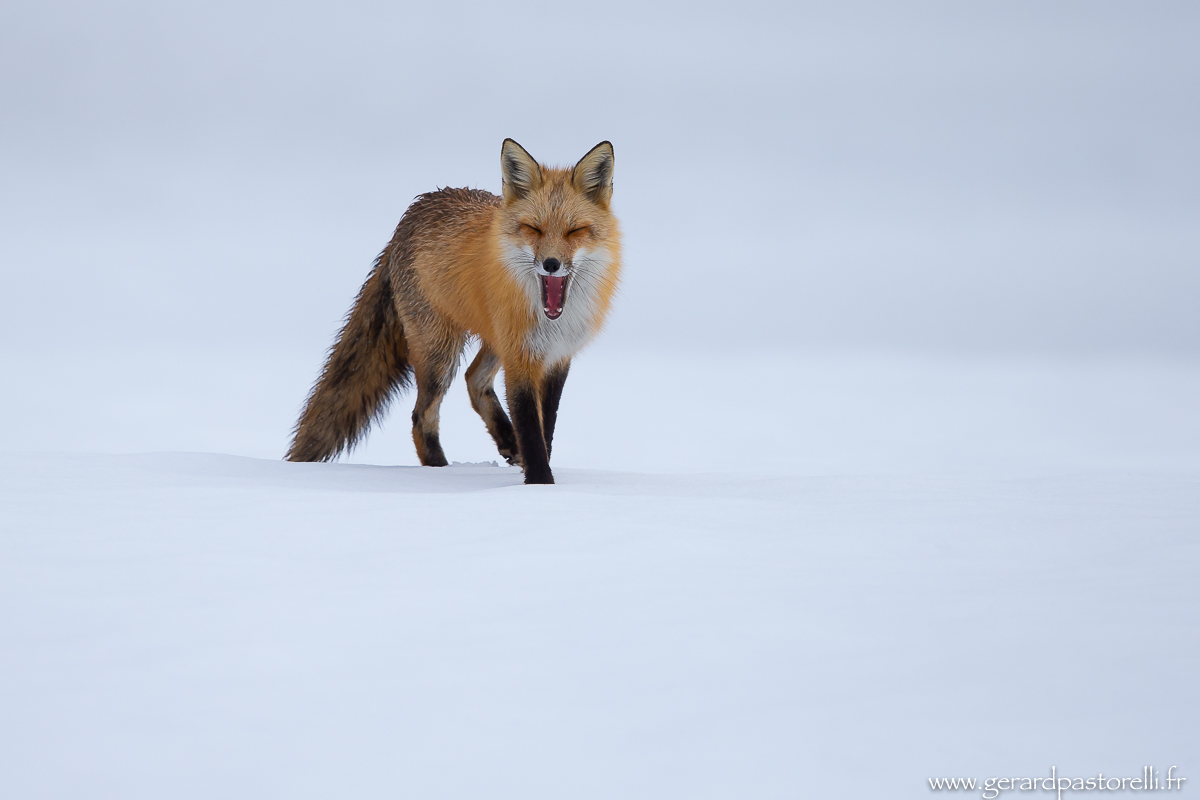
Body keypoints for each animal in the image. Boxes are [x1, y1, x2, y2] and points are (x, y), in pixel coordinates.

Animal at [286, 139, 622, 484]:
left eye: (574, 231)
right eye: (533, 229)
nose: (551, 264)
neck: (552, 319)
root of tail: (415, 209)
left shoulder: (556, 358)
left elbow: (546, 426)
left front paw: (539, 476)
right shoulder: (520, 359)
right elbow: (531, 429)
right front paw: (540, 483)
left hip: (490, 341)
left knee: (473, 379)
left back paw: (506, 441)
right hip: (439, 355)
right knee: (421, 415)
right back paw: (441, 471)